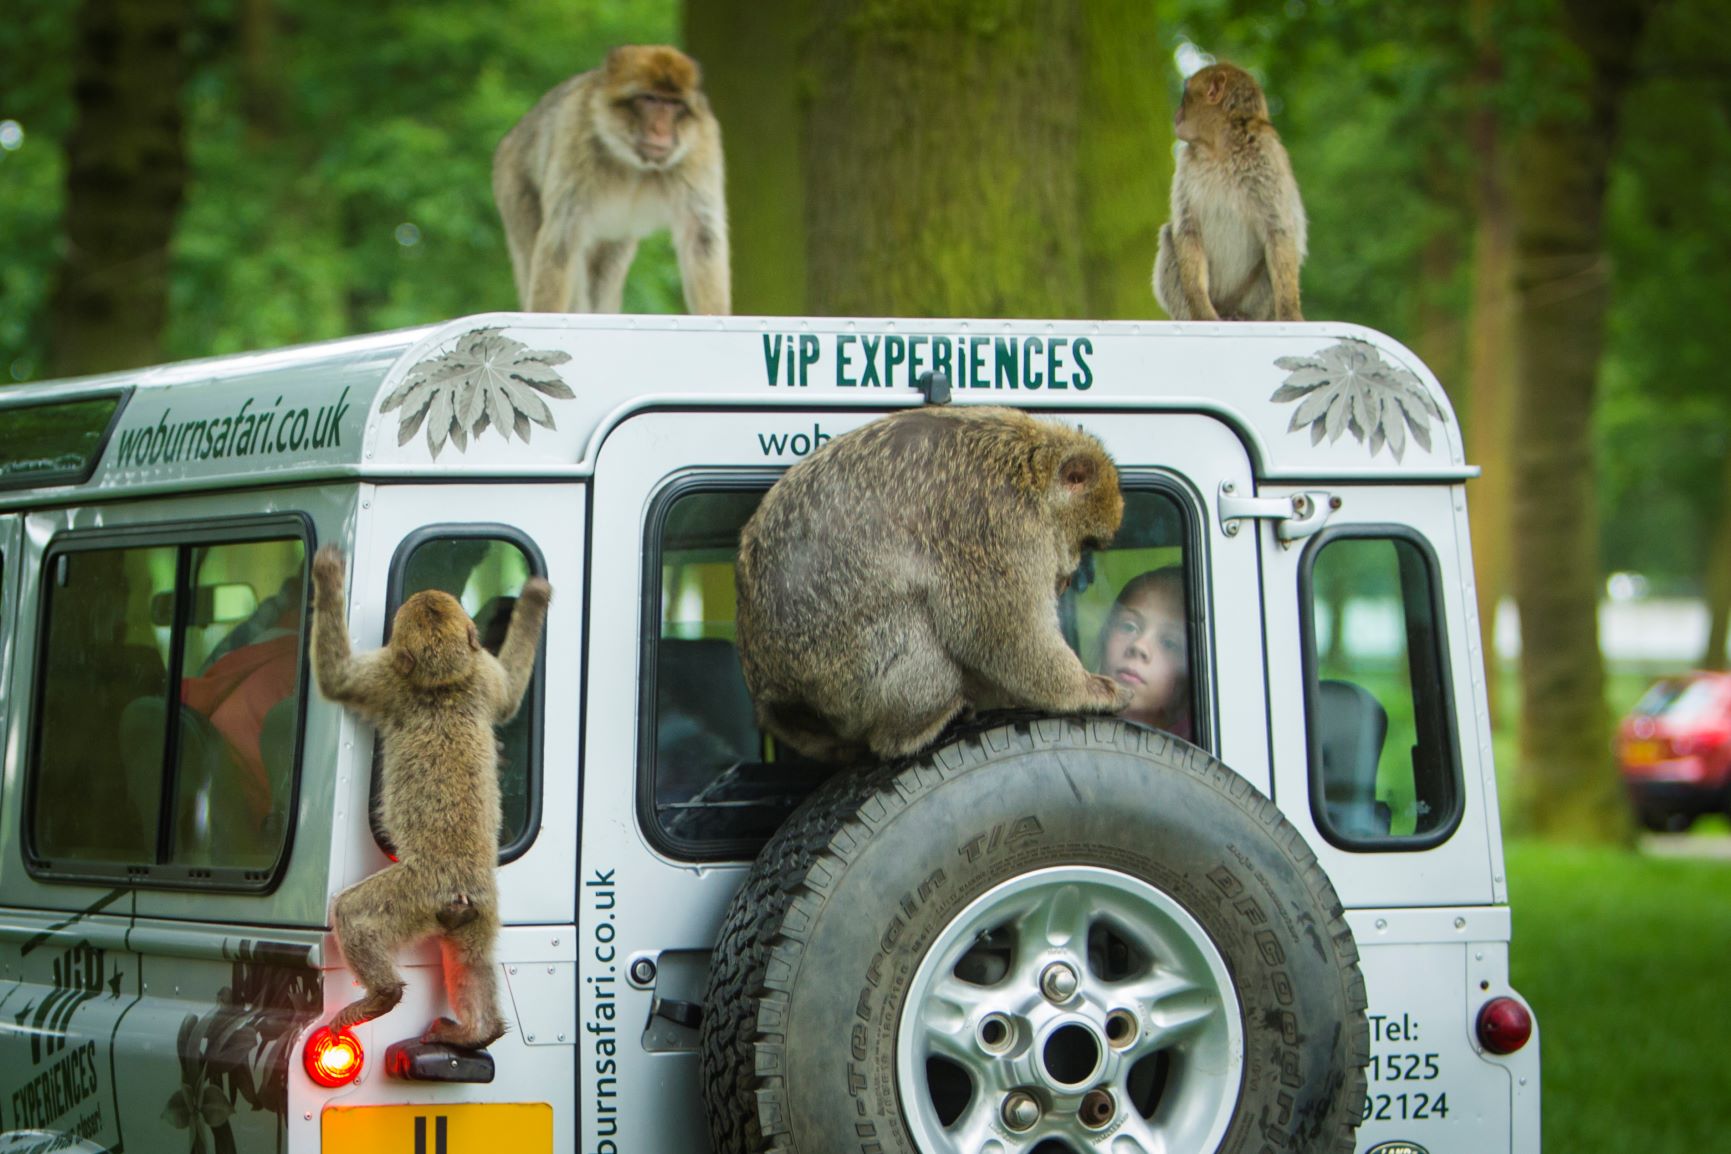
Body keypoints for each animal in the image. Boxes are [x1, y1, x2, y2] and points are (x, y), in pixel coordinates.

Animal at [309, 550, 546, 1045]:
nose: (426, 591)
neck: (446, 678)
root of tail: (459, 891)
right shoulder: (483, 674)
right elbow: (510, 695)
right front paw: (536, 598)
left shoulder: (385, 679)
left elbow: (337, 679)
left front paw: (328, 577)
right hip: (482, 908)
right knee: (471, 958)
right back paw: (478, 1031)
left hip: (416, 892)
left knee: (353, 914)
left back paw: (381, 995)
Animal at [495, 44, 730, 316]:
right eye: (650, 99)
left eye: (673, 104)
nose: (660, 130)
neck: (635, 162)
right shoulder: (576, 136)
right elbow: (563, 240)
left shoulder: (700, 148)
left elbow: (701, 237)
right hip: (514, 184)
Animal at [1156, 63, 1301, 325]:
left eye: (1185, 95)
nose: (1177, 113)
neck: (1219, 148)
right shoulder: (1185, 165)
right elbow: (1188, 229)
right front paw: (1201, 313)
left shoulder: (1267, 156)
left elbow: (1278, 230)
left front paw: (1290, 313)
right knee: (1169, 236)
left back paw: (1242, 315)